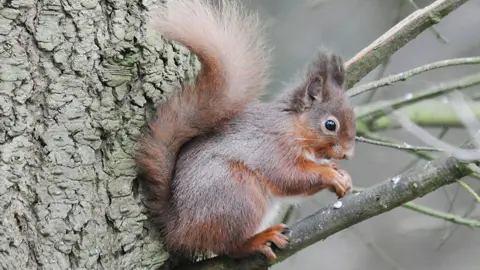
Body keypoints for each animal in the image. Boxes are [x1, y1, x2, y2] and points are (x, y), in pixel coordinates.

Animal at [135, 0, 356, 262]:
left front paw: (341, 173)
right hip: (237, 194)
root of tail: (178, 228)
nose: (349, 154)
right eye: (330, 125)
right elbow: (289, 177)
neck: (294, 126)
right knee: (229, 247)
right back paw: (257, 240)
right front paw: (330, 175)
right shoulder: (274, 147)